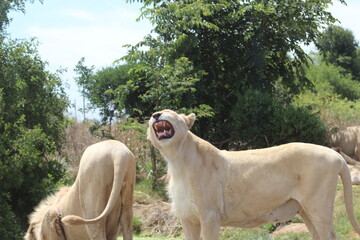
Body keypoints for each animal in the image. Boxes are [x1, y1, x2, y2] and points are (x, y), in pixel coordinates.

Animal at [147, 109, 360, 240]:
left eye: (170, 112)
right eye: (155, 113)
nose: (155, 114)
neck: (177, 159)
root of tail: (336, 155)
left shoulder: (210, 216)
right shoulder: (188, 218)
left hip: (318, 206)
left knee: (329, 235)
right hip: (304, 209)